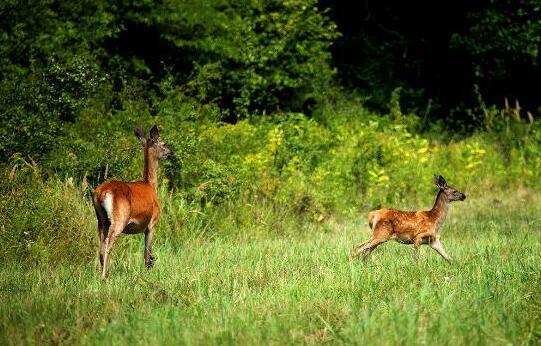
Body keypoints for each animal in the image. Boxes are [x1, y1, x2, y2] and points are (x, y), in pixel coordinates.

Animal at [90, 124, 171, 278]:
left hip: (101, 220)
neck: (150, 185)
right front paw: (147, 274)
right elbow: (147, 254)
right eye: (163, 144)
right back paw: (104, 276)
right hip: (119, 219)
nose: (171, 152)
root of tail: (102, 192)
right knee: (108, 245)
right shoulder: (152, 223)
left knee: (100, 246)